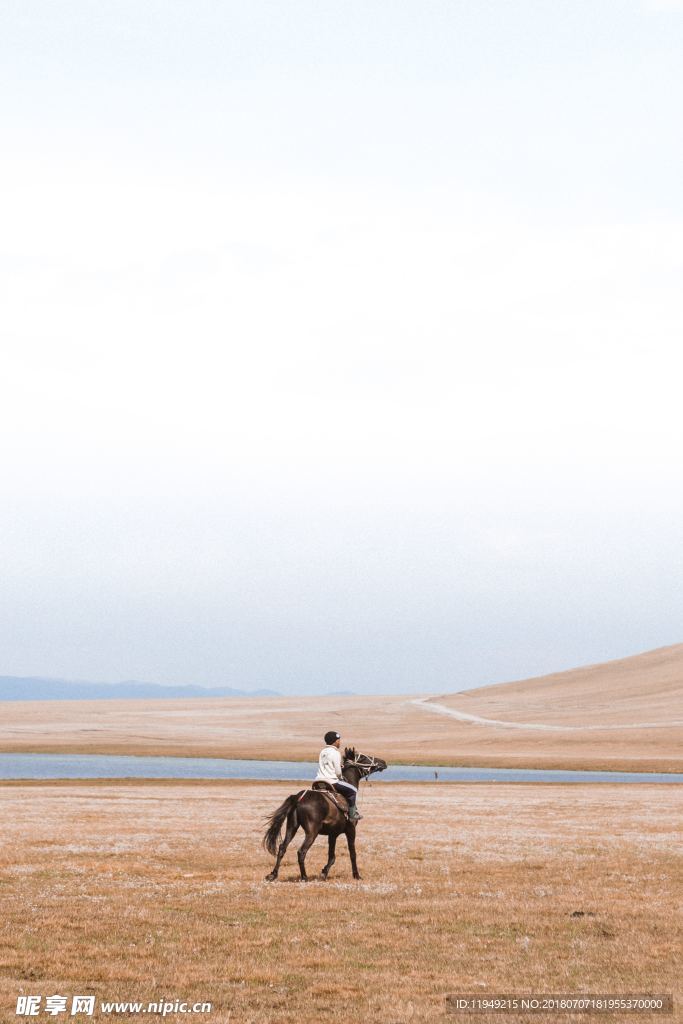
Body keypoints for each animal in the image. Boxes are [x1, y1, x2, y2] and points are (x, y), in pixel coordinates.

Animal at [264, 749, 387, 884]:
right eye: (363, 758)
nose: (383, 762)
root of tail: (298, 797)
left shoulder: (333, 834)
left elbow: (332, 856)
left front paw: (324, 873)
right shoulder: (351, 830)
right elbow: (352, 853)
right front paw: (356, 875)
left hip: (292, 827)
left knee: (282, 848)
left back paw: (273, 875)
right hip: (312, 832)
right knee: (301, 851)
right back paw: (304, 877)